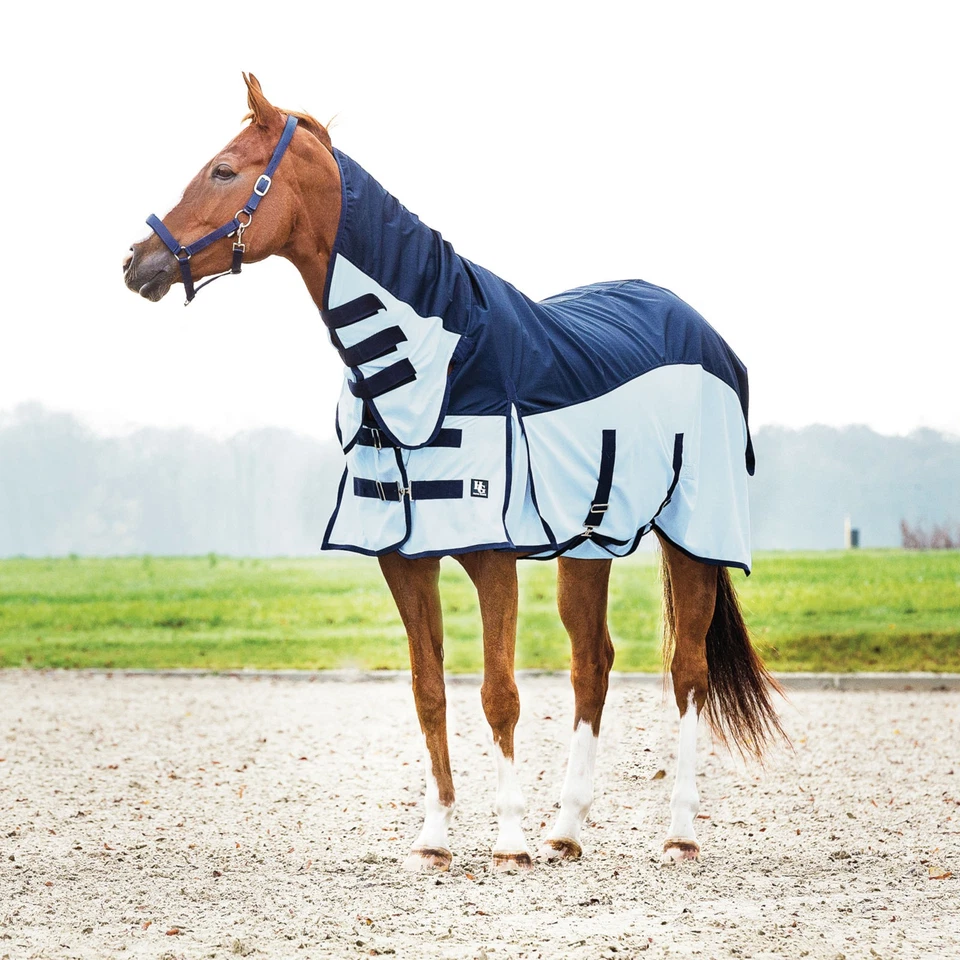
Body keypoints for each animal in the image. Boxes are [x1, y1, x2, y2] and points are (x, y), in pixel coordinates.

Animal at [123, 73, 786, 873]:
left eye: (223, 170)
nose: (136, 262)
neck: (437, 362)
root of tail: (698, 327)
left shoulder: (491, 556)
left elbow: (499, 692)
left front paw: (508, 841)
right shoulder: (405, 559)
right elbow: (429, 690)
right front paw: (435, 839)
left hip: (692, 534)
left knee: (687, 669)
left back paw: (678, 831)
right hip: (590, 544)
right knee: (592, 663)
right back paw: (567, 828)